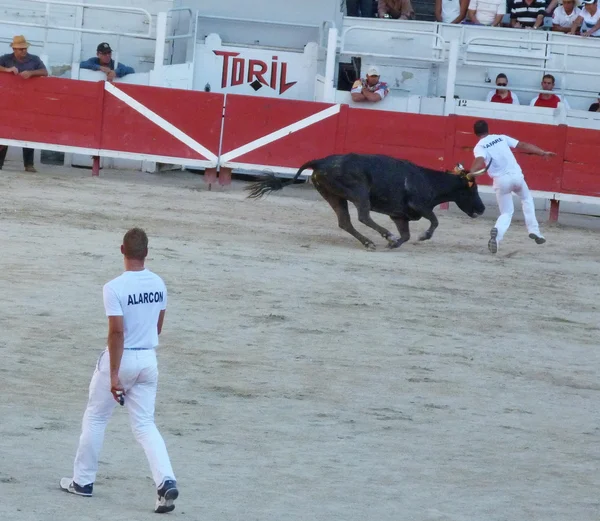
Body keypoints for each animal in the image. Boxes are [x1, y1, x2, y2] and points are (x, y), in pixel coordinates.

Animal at [246, 152, 486, 250]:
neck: (428, 180)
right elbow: (435, 221)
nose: (482, 208)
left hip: (334, 196)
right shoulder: (419, 206)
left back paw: (370, 242)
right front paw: (420, 236)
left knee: (345, 222)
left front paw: (395, 243)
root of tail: (321, 161)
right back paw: (384, 236)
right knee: (363, 216)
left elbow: (406, 235)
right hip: (359, 192)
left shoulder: (399, 214)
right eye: (472, 190)